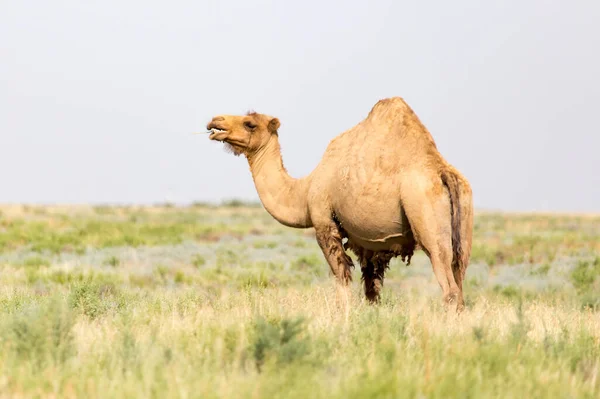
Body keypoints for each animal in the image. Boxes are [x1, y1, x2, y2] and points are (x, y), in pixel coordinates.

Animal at [206, 97, 474, 312]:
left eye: (249, 123)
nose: (215, 122)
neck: (305, 190)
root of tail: (442, 172)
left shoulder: (323, 221)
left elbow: (341, 276)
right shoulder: (370, 244)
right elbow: (372, 292)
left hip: (424, 211)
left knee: (449, 287)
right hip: (464, 223)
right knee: (460, 280)